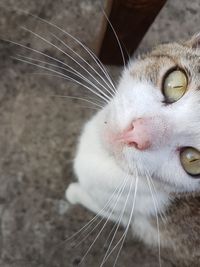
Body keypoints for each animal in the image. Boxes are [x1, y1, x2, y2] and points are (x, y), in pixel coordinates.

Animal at [66, 34, 200, 267]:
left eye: (193, 160)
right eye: (176, 83)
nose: (138, 134)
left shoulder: (137, 218)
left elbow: (102, 206)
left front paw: (74, 193)